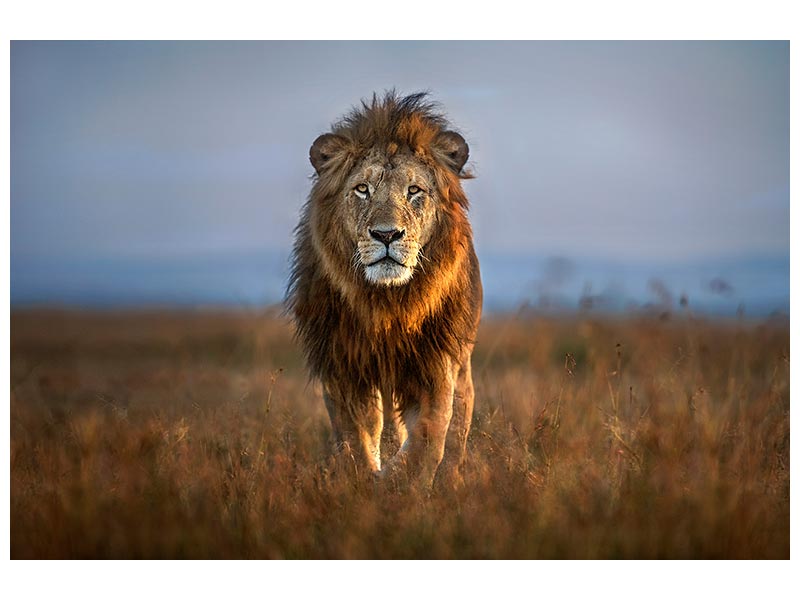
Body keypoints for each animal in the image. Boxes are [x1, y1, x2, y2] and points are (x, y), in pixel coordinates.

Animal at [287, 91, 482, 487]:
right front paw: (365, 480)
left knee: (456, 429)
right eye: (363, 189)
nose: (387, 234)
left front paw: (401, 483)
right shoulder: (343, 365)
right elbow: (356, 436)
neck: (388, 303)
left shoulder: (436, 363)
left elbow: (428, 436)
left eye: (414, 190)